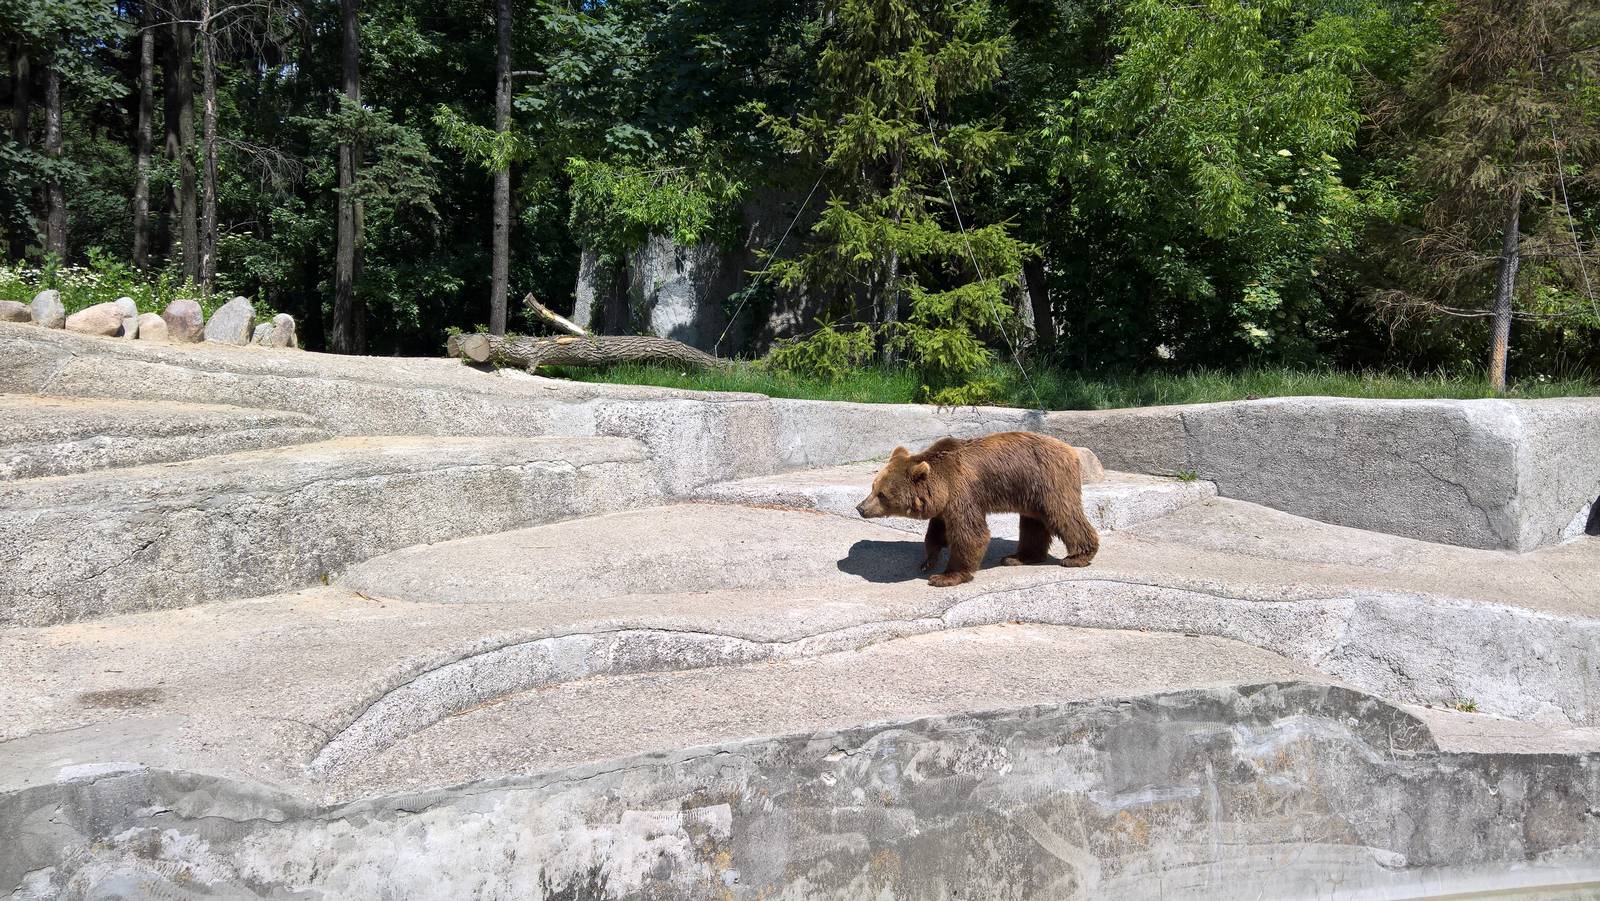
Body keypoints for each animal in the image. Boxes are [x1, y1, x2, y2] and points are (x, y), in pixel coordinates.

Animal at [855, 431, 1099, 587]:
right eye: (873, 487)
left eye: (881, 494)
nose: (860, 507)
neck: (941, 484)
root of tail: (1071, 451)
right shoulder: (945, 503)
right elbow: (936, 531)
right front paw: (927, 562)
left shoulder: (962, 493)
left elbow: (970, 533)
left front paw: (946, 577)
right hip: (1031, 492)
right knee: (1033, 523)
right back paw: (1018, 557)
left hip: (1048, 481)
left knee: (1063, 514)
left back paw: (1077, 556)